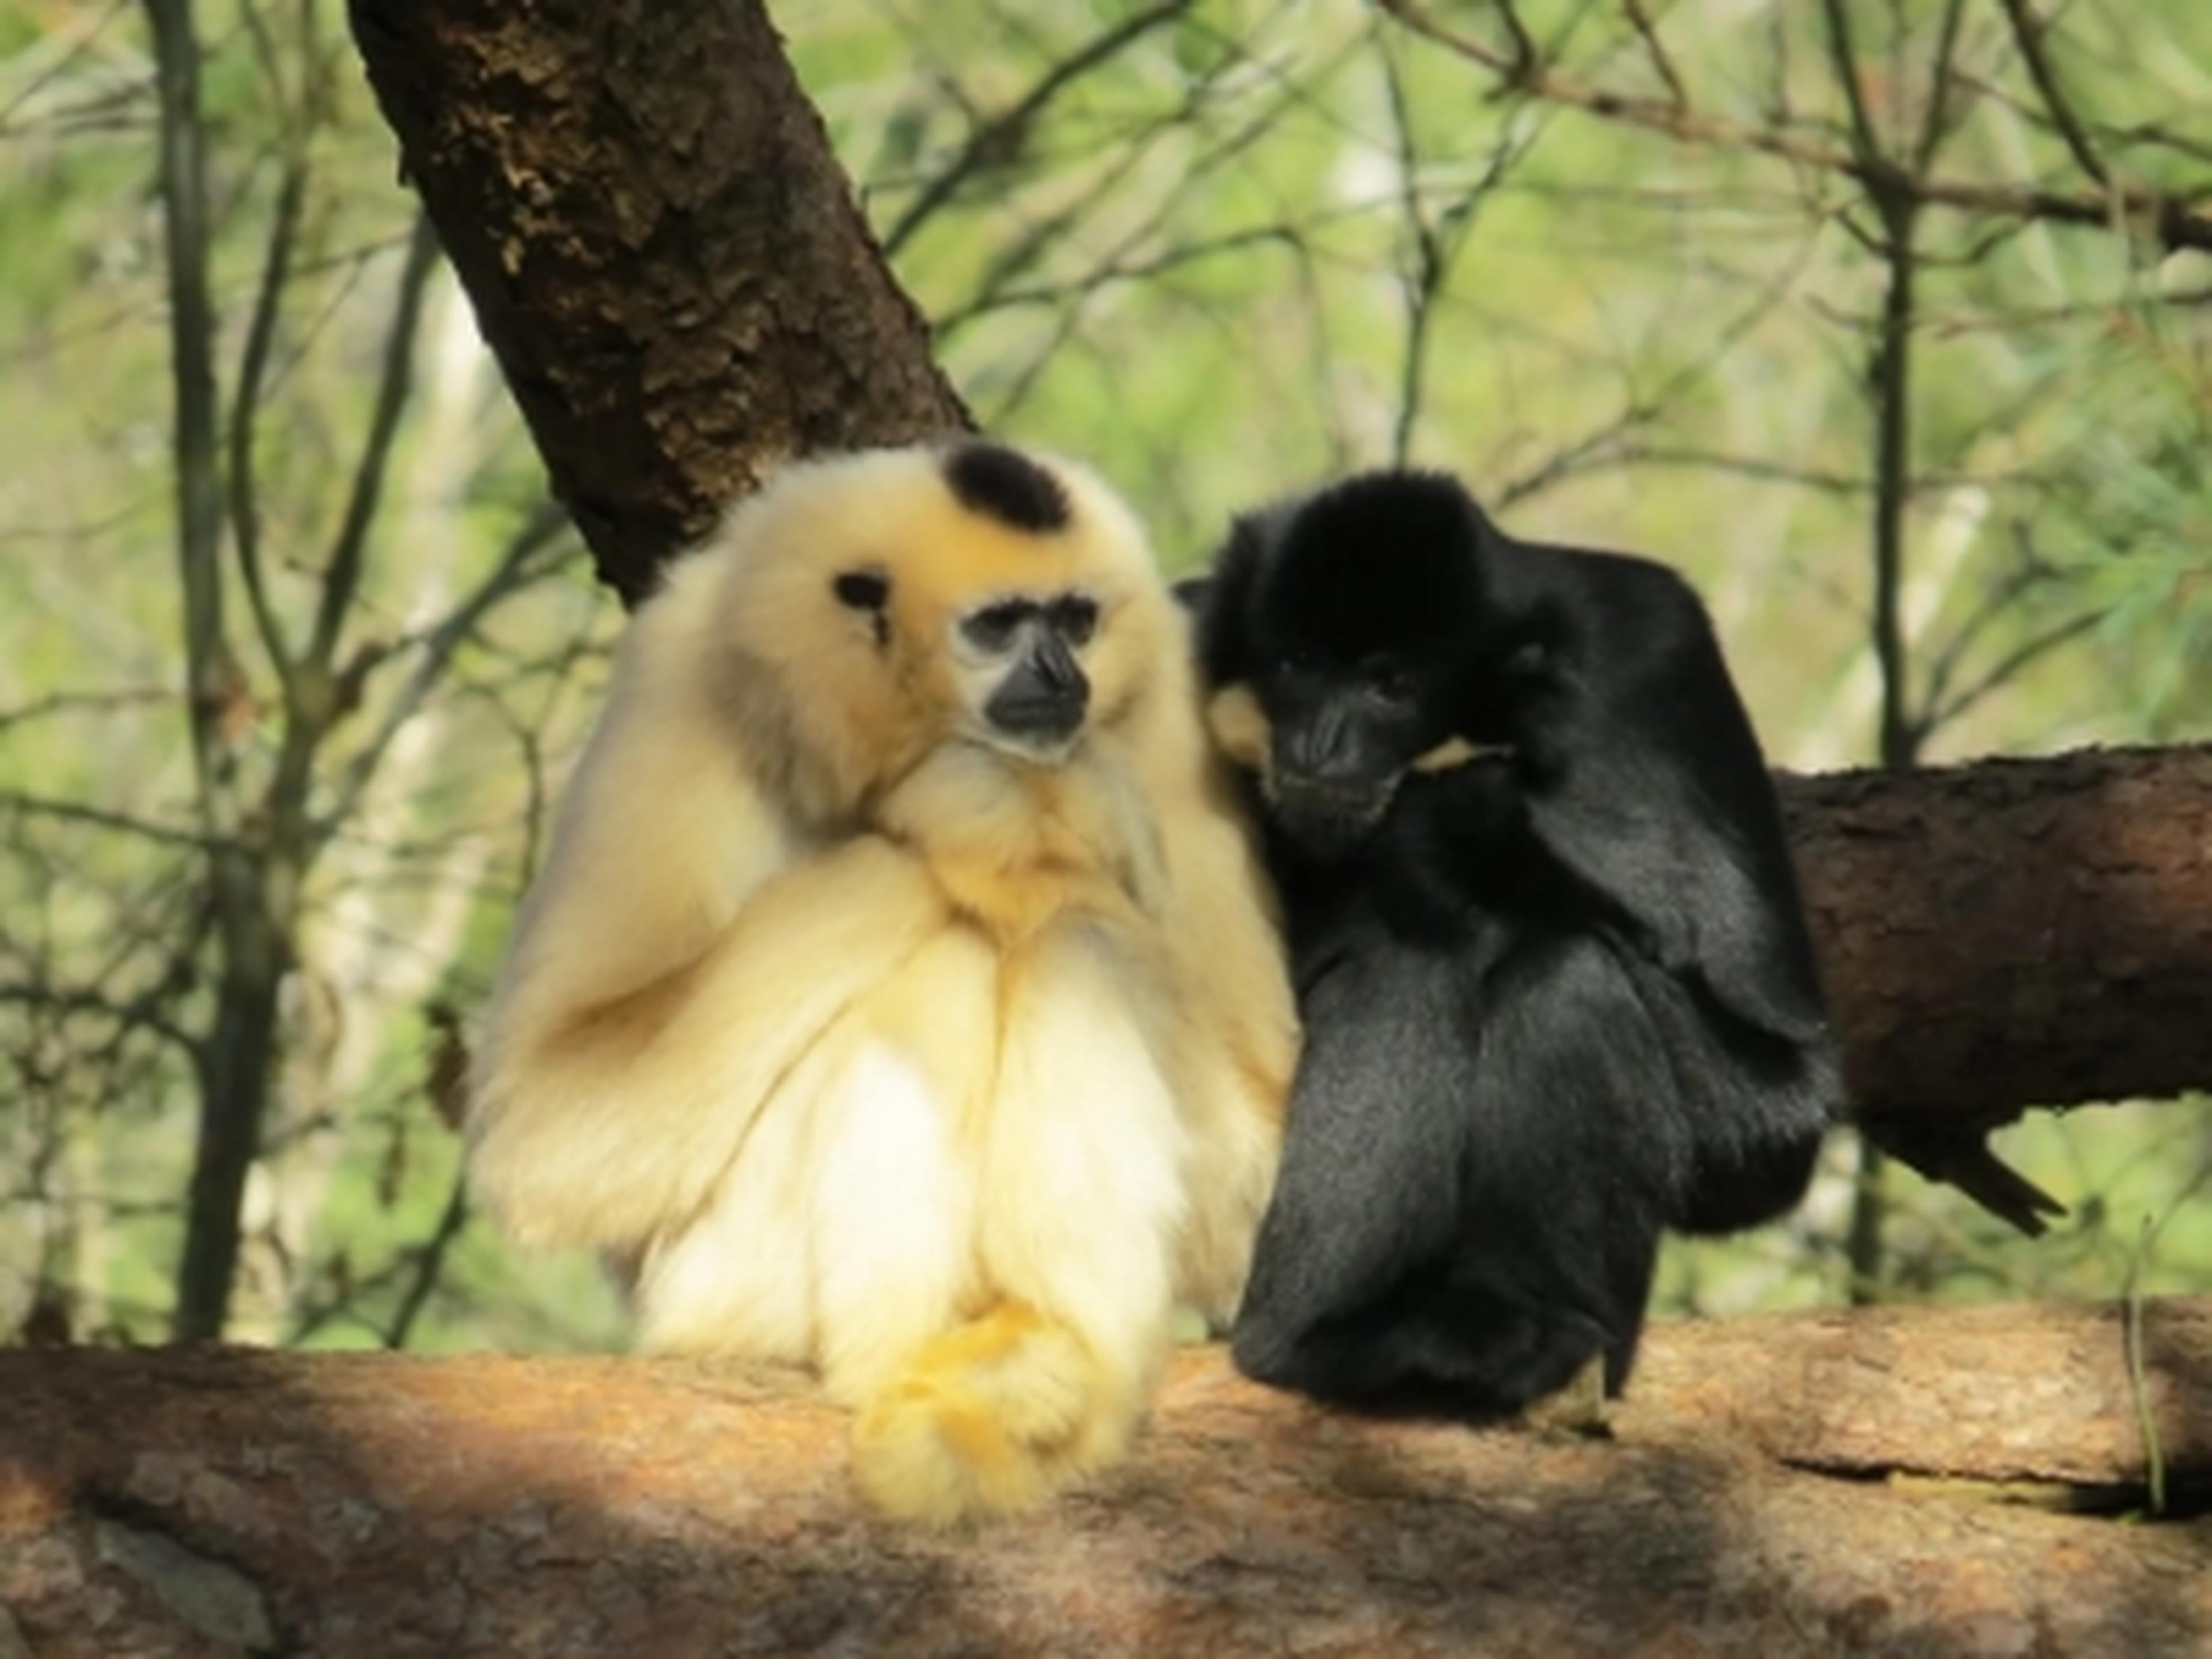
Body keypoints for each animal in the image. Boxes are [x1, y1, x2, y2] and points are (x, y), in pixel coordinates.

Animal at [465, 441, 1297, 1523]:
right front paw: (989, 802)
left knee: (1077, 943)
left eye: (1075, 619)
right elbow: (549, 1125)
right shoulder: (681, 687)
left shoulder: (1164, 714)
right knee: (949, 960)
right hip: (720, 1288)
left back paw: (1037, 1361)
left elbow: (1268, 1146)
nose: (1063, 675)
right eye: (999, 625)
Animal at [1182, 467, 1842, 1419]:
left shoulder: (1652, 651)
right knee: (1420, 957)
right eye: (1298, 665)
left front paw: (1462, 815)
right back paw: (1316, 1340)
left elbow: (1783, 1112)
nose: (1322, 743)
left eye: (1388, 685)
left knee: (1568, 973)